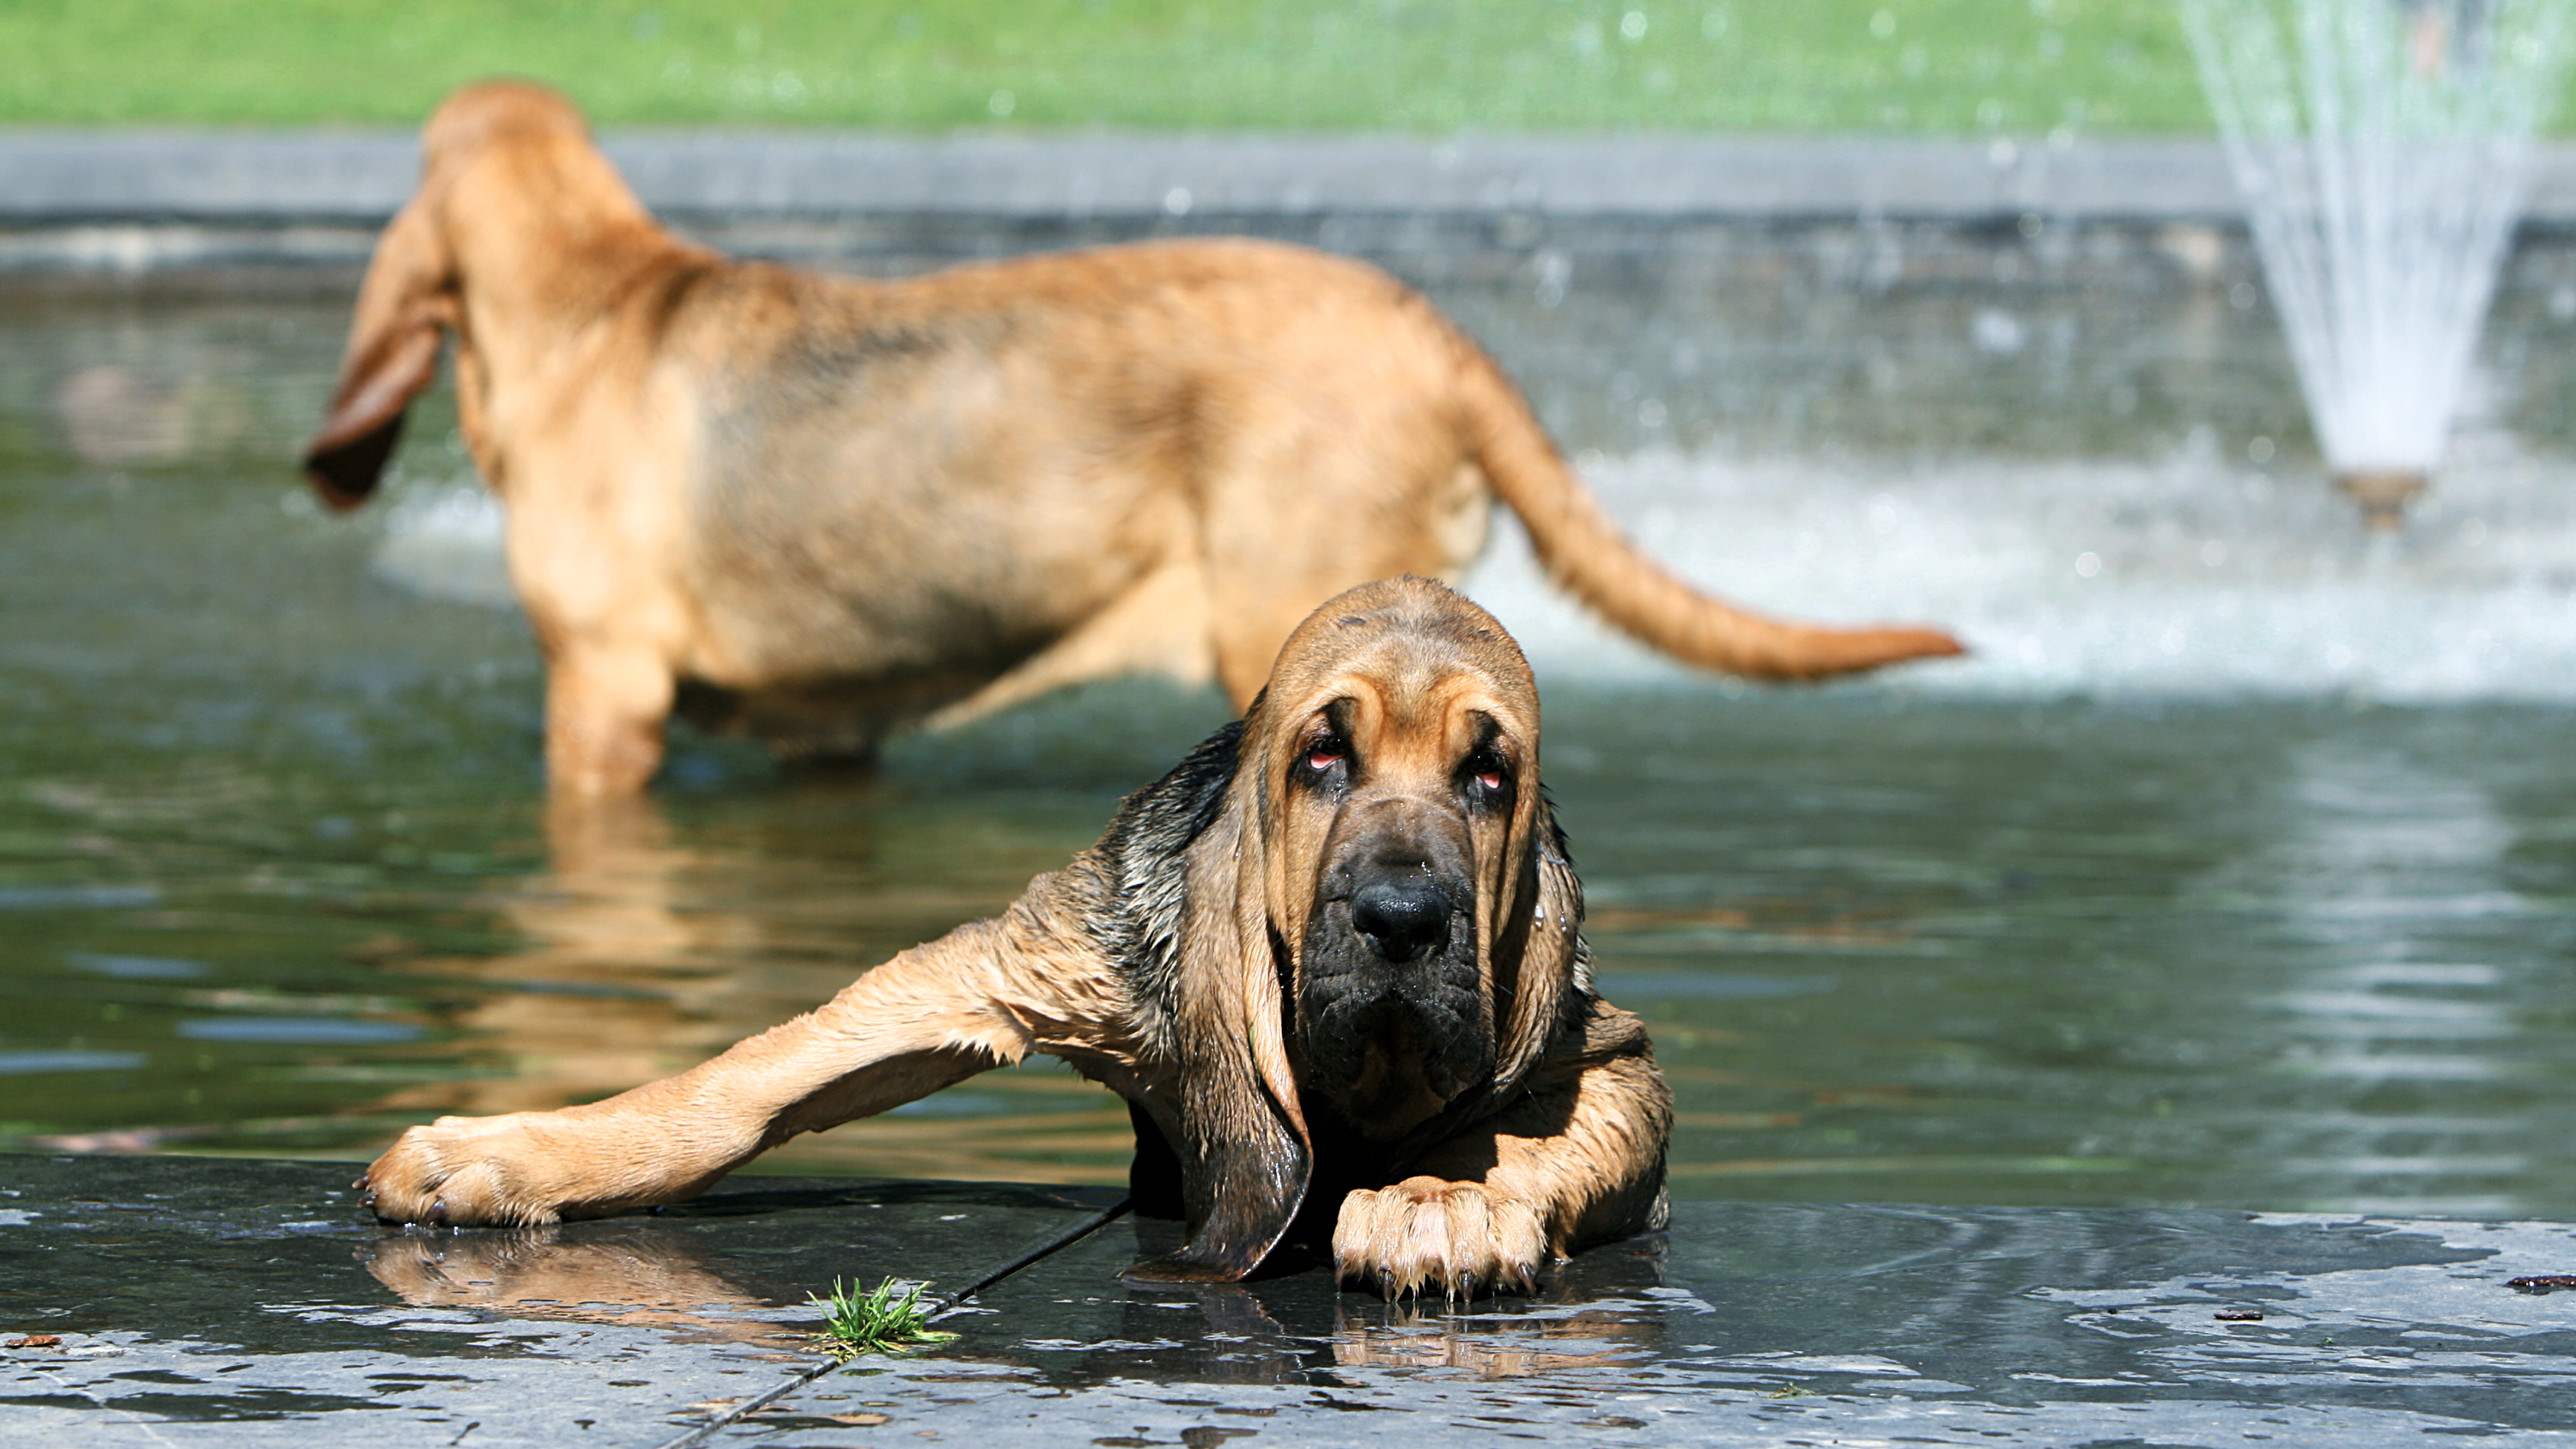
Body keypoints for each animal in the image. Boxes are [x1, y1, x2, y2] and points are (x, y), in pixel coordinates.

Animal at [358, 577, 1669, 1299]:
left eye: (1489, 775)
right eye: (1320, 757)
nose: (1403, 918)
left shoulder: (1602, 1047)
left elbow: (1531, 1128)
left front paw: (1444, 1200)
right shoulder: (1028, 961)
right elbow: (734, 1084)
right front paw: (501, 1154)